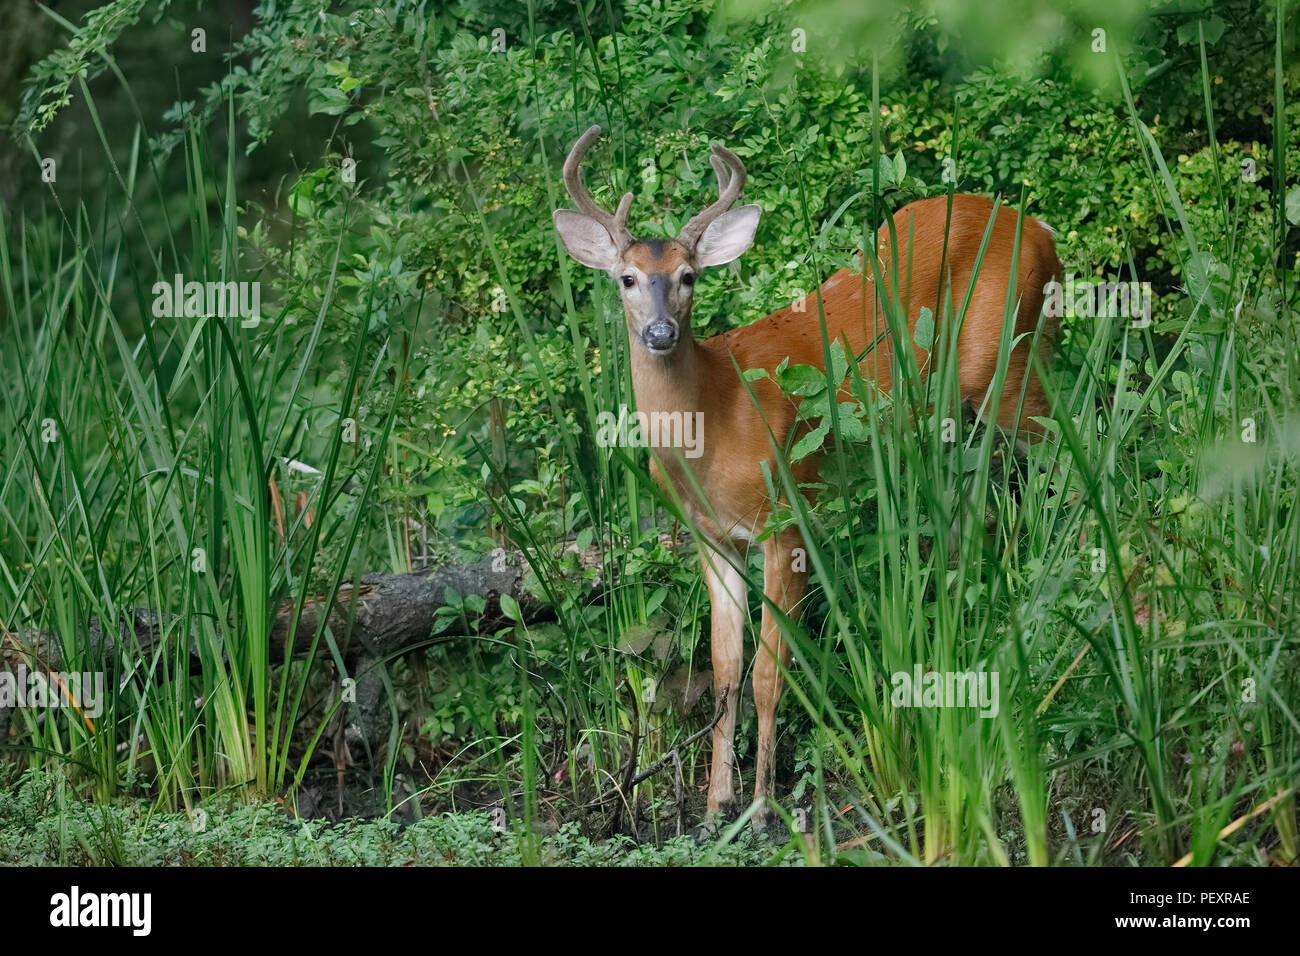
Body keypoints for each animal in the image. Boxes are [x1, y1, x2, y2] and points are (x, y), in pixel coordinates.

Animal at [553, 125, 1060, 832]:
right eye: (627, 278)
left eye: (688, 276)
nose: (660, 331)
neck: (713, 423)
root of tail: (1041, 230)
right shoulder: (713, 538)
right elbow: (725, 669)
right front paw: (716, 806)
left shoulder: (786, 517)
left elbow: (770, 671)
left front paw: (763, 807)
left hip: (1009, 365)